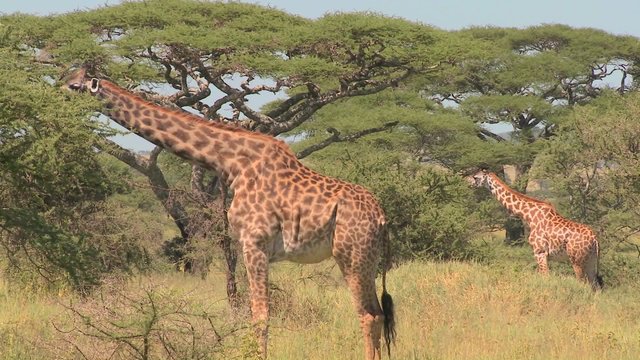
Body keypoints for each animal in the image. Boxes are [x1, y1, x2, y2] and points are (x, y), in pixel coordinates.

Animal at [63, 68, 396, 360]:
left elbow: (260, 316)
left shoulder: (254, 243)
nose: (55, 99)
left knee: (368, 314)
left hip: (350, 255)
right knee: (380, 314)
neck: (230, 163)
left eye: (72, 86)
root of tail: (382, 218)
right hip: (367, 259)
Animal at [468, 169, 604, 290]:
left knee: (583, 282)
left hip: (576, 260)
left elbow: (545, 277)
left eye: (476, 177)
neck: (529, 216)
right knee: (595, 286)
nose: (468, 182)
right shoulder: (542, 254)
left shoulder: (540, 252)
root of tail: (595, 239)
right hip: (591, 259)